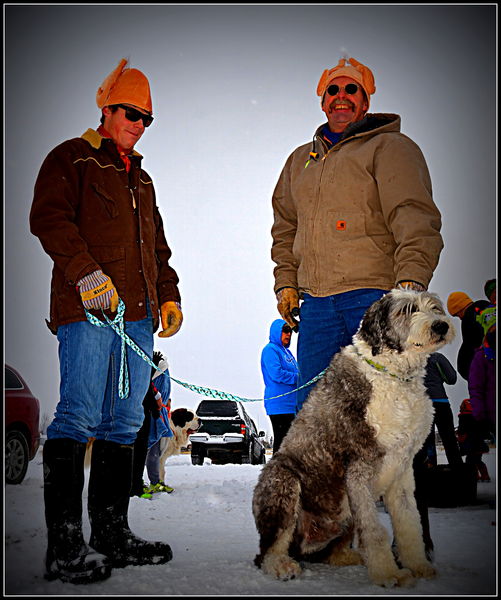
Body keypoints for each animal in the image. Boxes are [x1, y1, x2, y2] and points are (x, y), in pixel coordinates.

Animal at [252, 288, 456, 588]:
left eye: (435, 307)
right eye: (406, 310)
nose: (440, 326)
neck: (391, 374)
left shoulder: (403, 469)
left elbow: (409, 522)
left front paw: (418, 566)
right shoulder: (360, 467)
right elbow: (374, 529)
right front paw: (388, 574)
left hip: (342, 513)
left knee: (331, 551)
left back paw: (352, 557)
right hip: (282, 481)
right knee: (269, 548)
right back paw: (281, 565)